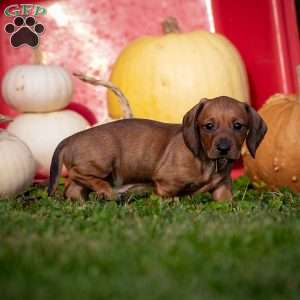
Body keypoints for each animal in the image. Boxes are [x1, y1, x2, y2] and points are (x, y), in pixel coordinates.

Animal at [47, 96, 268, 202]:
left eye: (238, 126)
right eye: (209, 126)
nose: (223, 148)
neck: (207, 162)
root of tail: (71, 138)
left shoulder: (222, 188)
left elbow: (227, 202)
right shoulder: (166, 184)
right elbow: (169, 199)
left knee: (74, 188)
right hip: (101, 163)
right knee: (76, 175)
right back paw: (107, 190)